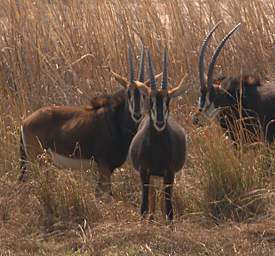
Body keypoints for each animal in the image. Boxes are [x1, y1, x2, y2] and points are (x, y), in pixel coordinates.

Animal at [18, 45, 153, 194]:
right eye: (128, 93)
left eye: (146, 94)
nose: (137, 114)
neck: (115, 121)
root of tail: (25, 122)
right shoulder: (104, 166)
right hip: (34, 160)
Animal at [129, 49, 188, 221]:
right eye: (151, 100)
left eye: (168, 100)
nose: (160, 122)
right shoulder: (144, 173)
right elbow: (143, 207)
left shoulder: (169, 174)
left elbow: (169, 210)